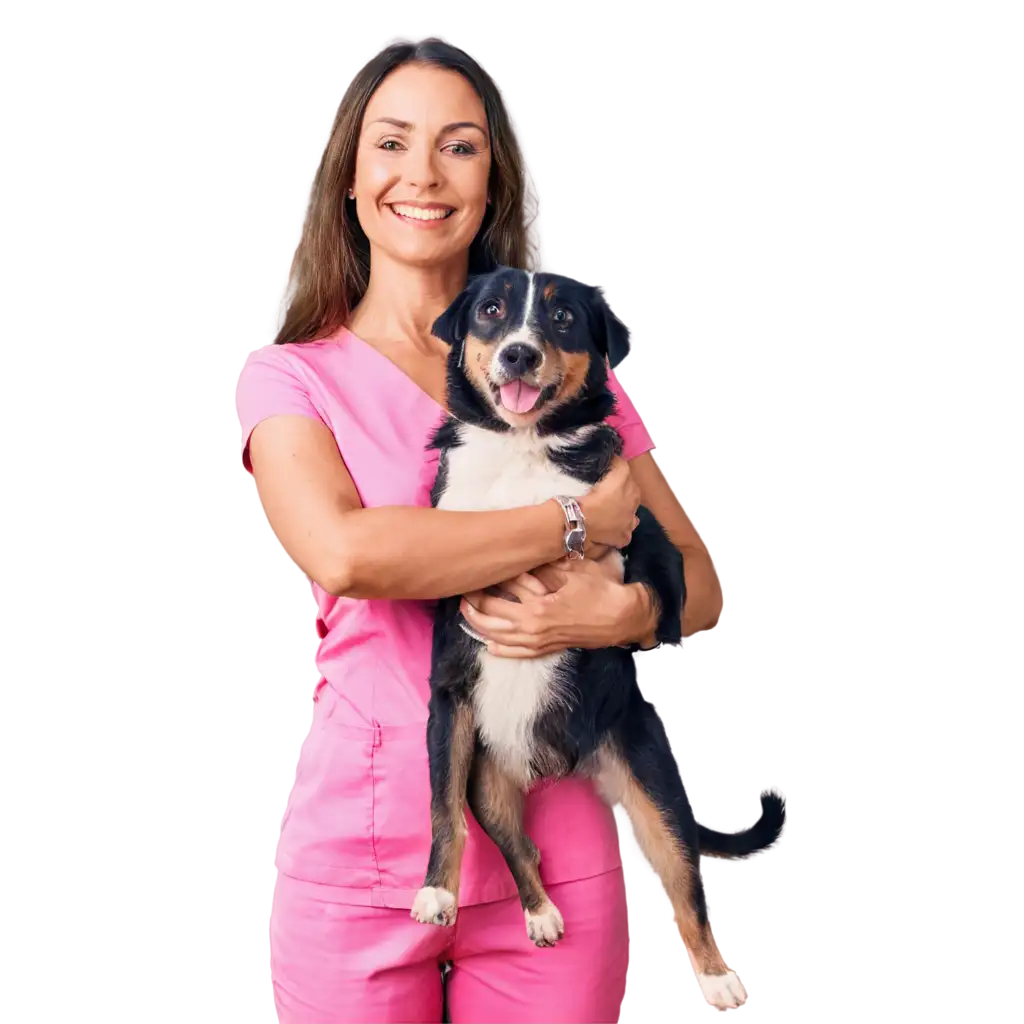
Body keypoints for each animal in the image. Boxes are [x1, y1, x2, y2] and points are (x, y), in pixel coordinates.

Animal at [409, 268, 782, 1011]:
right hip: (488, 774)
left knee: (685, 884)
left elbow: (667, 592)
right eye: (492, 310)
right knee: (517, 843)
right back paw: (541, 912)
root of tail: (573, 761)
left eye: (561, 316)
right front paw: (438, 891)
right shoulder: (448, 694)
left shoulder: (648, 535)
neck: (523, 453)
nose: (519, 354)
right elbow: (441, 810)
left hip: (652, 788)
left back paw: (715, 975)